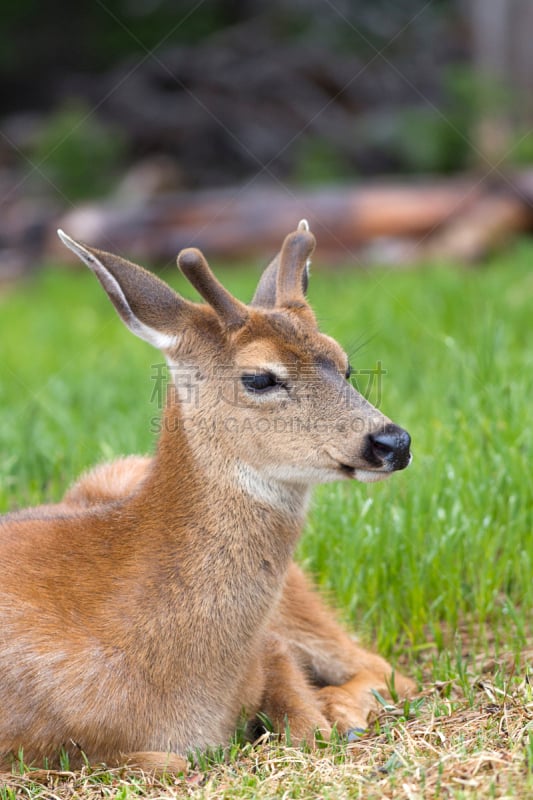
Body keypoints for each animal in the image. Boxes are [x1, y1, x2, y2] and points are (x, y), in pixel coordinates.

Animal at [0, 222, 412, 772]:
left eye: (345, 365)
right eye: (259, 376)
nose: (393, 442)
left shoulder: (270, 644)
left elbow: (305, 717)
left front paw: (325, 714)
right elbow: (167, 762)